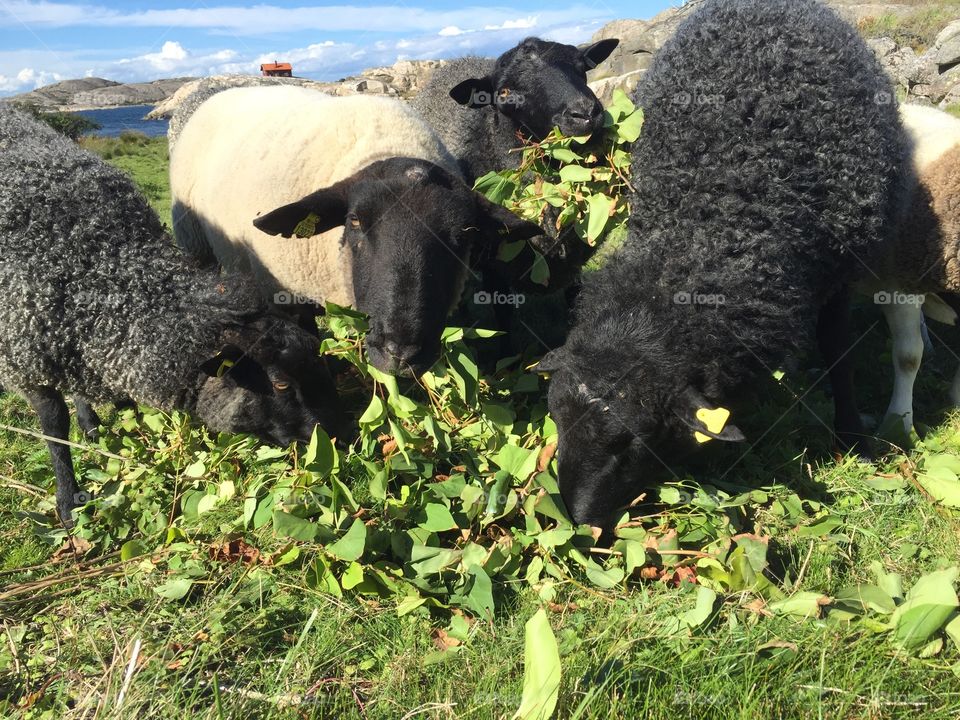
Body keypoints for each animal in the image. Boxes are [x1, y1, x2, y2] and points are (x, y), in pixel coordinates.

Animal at [0, 101, 344, 524]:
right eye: (279, 384)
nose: (340, 436)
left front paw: (106, 430)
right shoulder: (25, 357)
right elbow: (54, 427)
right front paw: (68, 502)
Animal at [540, 0, 908, 528]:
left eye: (632, 442)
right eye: (555, 419)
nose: (578, 521)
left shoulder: (840, 273)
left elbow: (839, 351)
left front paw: (852, 436)